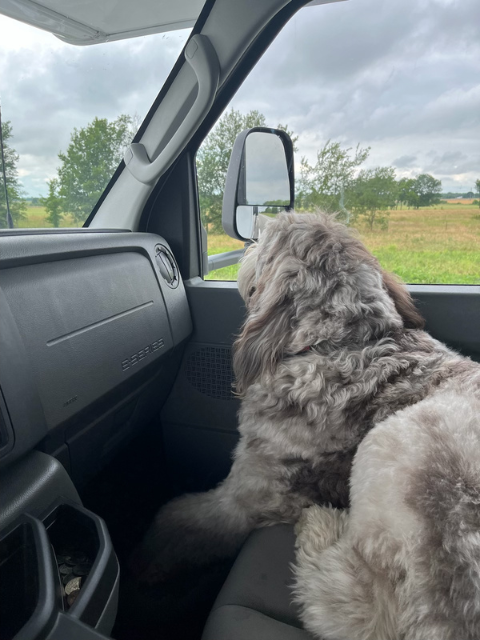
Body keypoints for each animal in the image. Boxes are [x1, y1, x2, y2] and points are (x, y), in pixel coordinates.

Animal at [133, 211, 480, 617]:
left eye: (267, 240)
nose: (254, 228)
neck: (344, 344)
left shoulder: (246, 494)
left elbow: (177, 520)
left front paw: (145, 558)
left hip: (396, 448)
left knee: (360, 606)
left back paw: (319, 531)